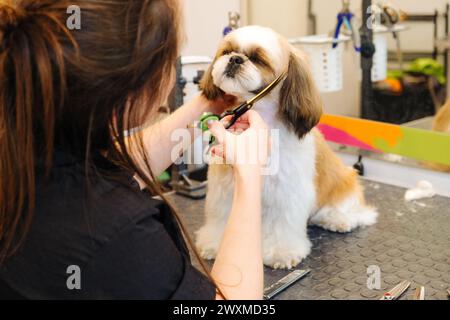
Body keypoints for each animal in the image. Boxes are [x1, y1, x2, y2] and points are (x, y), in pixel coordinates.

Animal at [195, 25, 378, 270]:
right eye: (227, 51)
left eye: (258, 59)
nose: (235, 59)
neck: (261, 117)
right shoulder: (225, 186)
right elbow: (221, 218)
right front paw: (215, 245)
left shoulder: (287, 190)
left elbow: (283, 224)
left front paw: (281, 253)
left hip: (345, 185)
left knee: (356, 213)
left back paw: (338, 219)